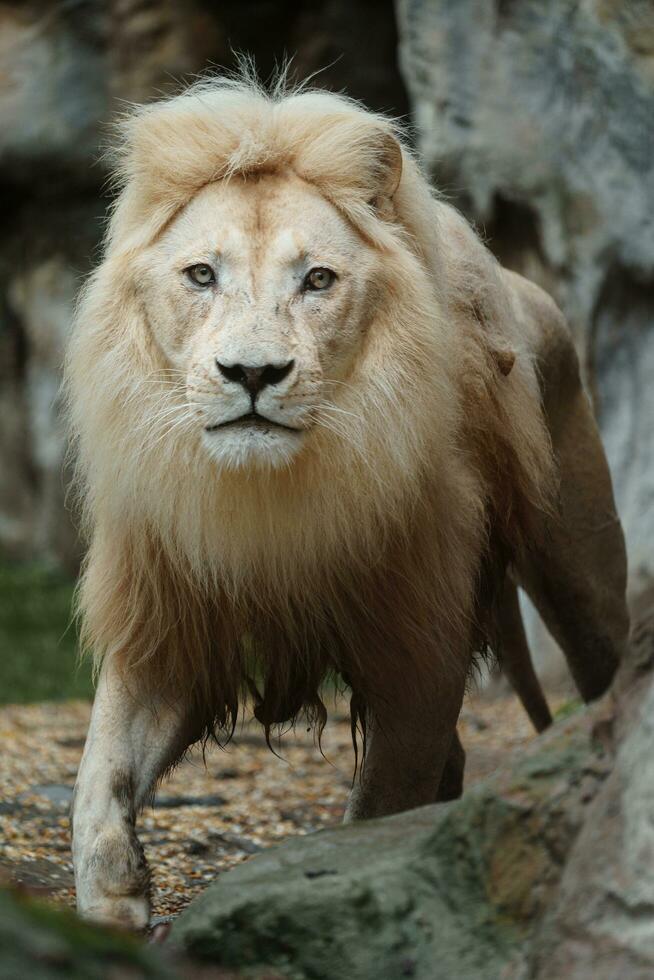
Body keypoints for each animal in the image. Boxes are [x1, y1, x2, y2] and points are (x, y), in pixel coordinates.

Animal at [65, 74, 632, 928]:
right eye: (202, 276)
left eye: (318, 280)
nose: (253, 373)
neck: (273, 498)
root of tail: (526, 287)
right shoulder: (168, 618)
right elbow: (98, 785)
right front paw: (115, 908)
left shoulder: (417, 649)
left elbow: (377, 803)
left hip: (582, 580)